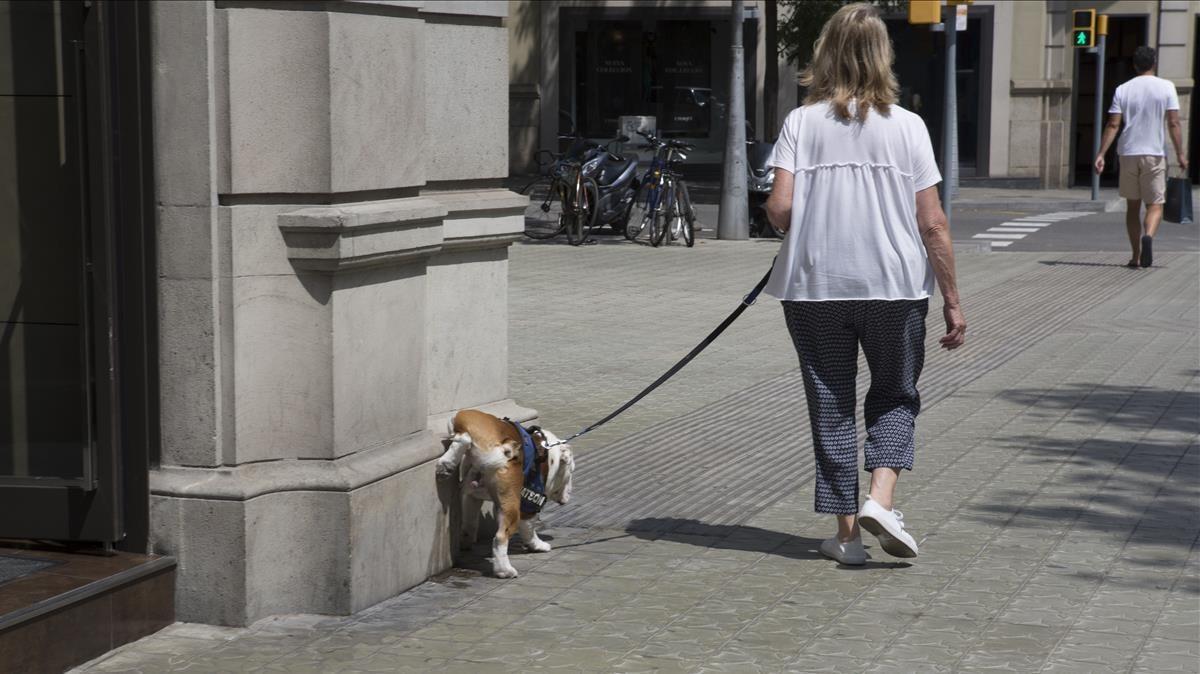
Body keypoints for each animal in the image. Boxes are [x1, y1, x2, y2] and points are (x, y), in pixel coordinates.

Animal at [436, 407, 576, 575]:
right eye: (571, 470)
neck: (547, 452)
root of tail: (498, 447)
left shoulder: (472, 497)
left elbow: (470, 524)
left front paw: (466, 542)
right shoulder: (528, 506)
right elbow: (529, 530)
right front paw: (538, 545)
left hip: (464, 418)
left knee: (463, 439)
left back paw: (447, 464)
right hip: (512, 505)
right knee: (500, 538)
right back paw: (504, 570)